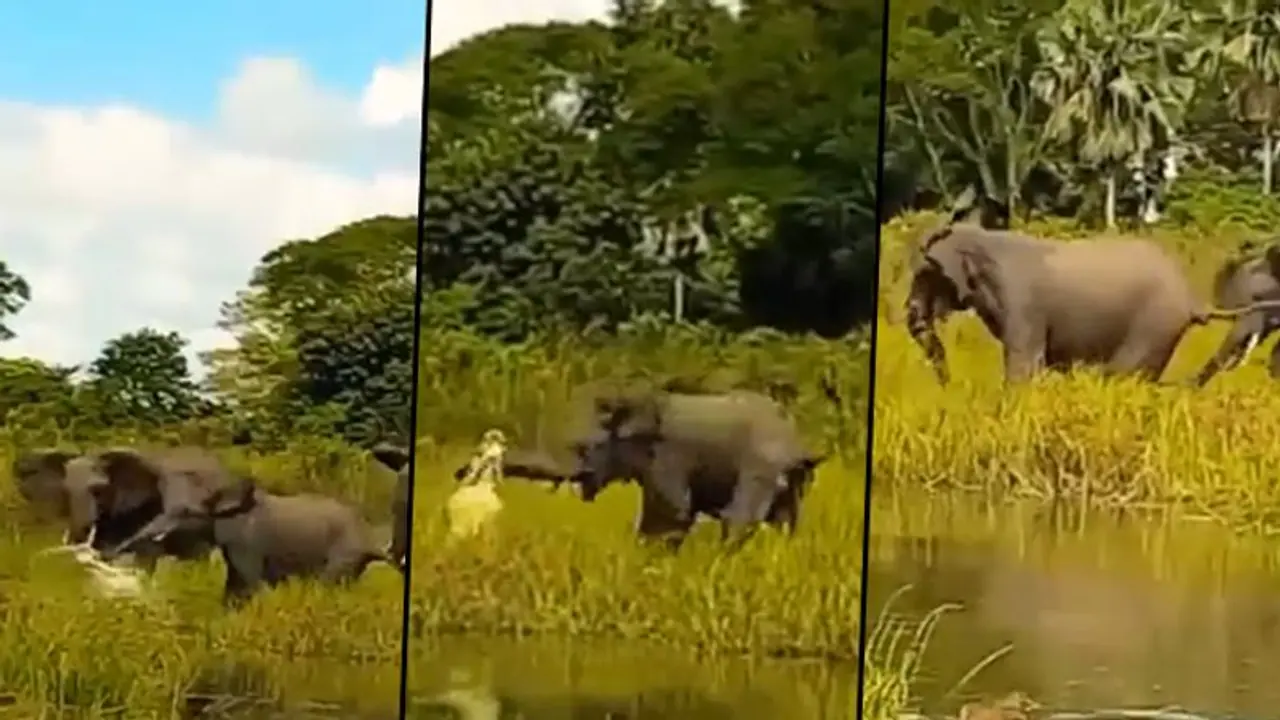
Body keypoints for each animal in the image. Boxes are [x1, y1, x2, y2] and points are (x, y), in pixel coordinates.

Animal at [104, 471, 390, 607]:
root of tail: (370, 538)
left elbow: (249, 581)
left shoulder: (244, 540)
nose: (110, 557)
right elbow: (233, 583)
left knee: (327, 584)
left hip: (345, 552)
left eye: (185, 512)